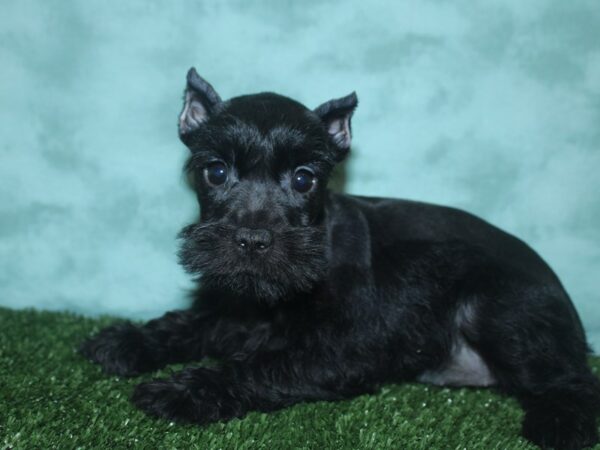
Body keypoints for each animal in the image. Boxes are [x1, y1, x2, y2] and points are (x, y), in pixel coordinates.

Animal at [81, 67, 600, 450]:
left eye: (304, 178)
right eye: (216, 171)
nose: (252, 240)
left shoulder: (342, 348)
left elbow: (258, 364)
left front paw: (183, 390)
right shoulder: (229, 308)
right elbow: (185, 324)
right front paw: (127, 341)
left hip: (500, 310)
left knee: (573, 379)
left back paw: (560, 421)